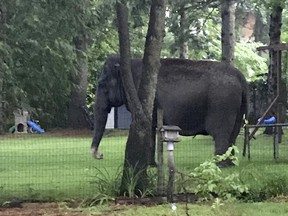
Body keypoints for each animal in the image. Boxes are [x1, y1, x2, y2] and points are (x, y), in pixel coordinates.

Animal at [91, 54, 248, 166]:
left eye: (101, 84)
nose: (100, 155)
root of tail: (241, 77)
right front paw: (153, 165)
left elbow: (150, 126)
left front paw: (150, 165)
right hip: (237, 106)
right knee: (233, 134)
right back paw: (230, 164)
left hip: (222, 103)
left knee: (220, 133)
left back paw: (219, 165)